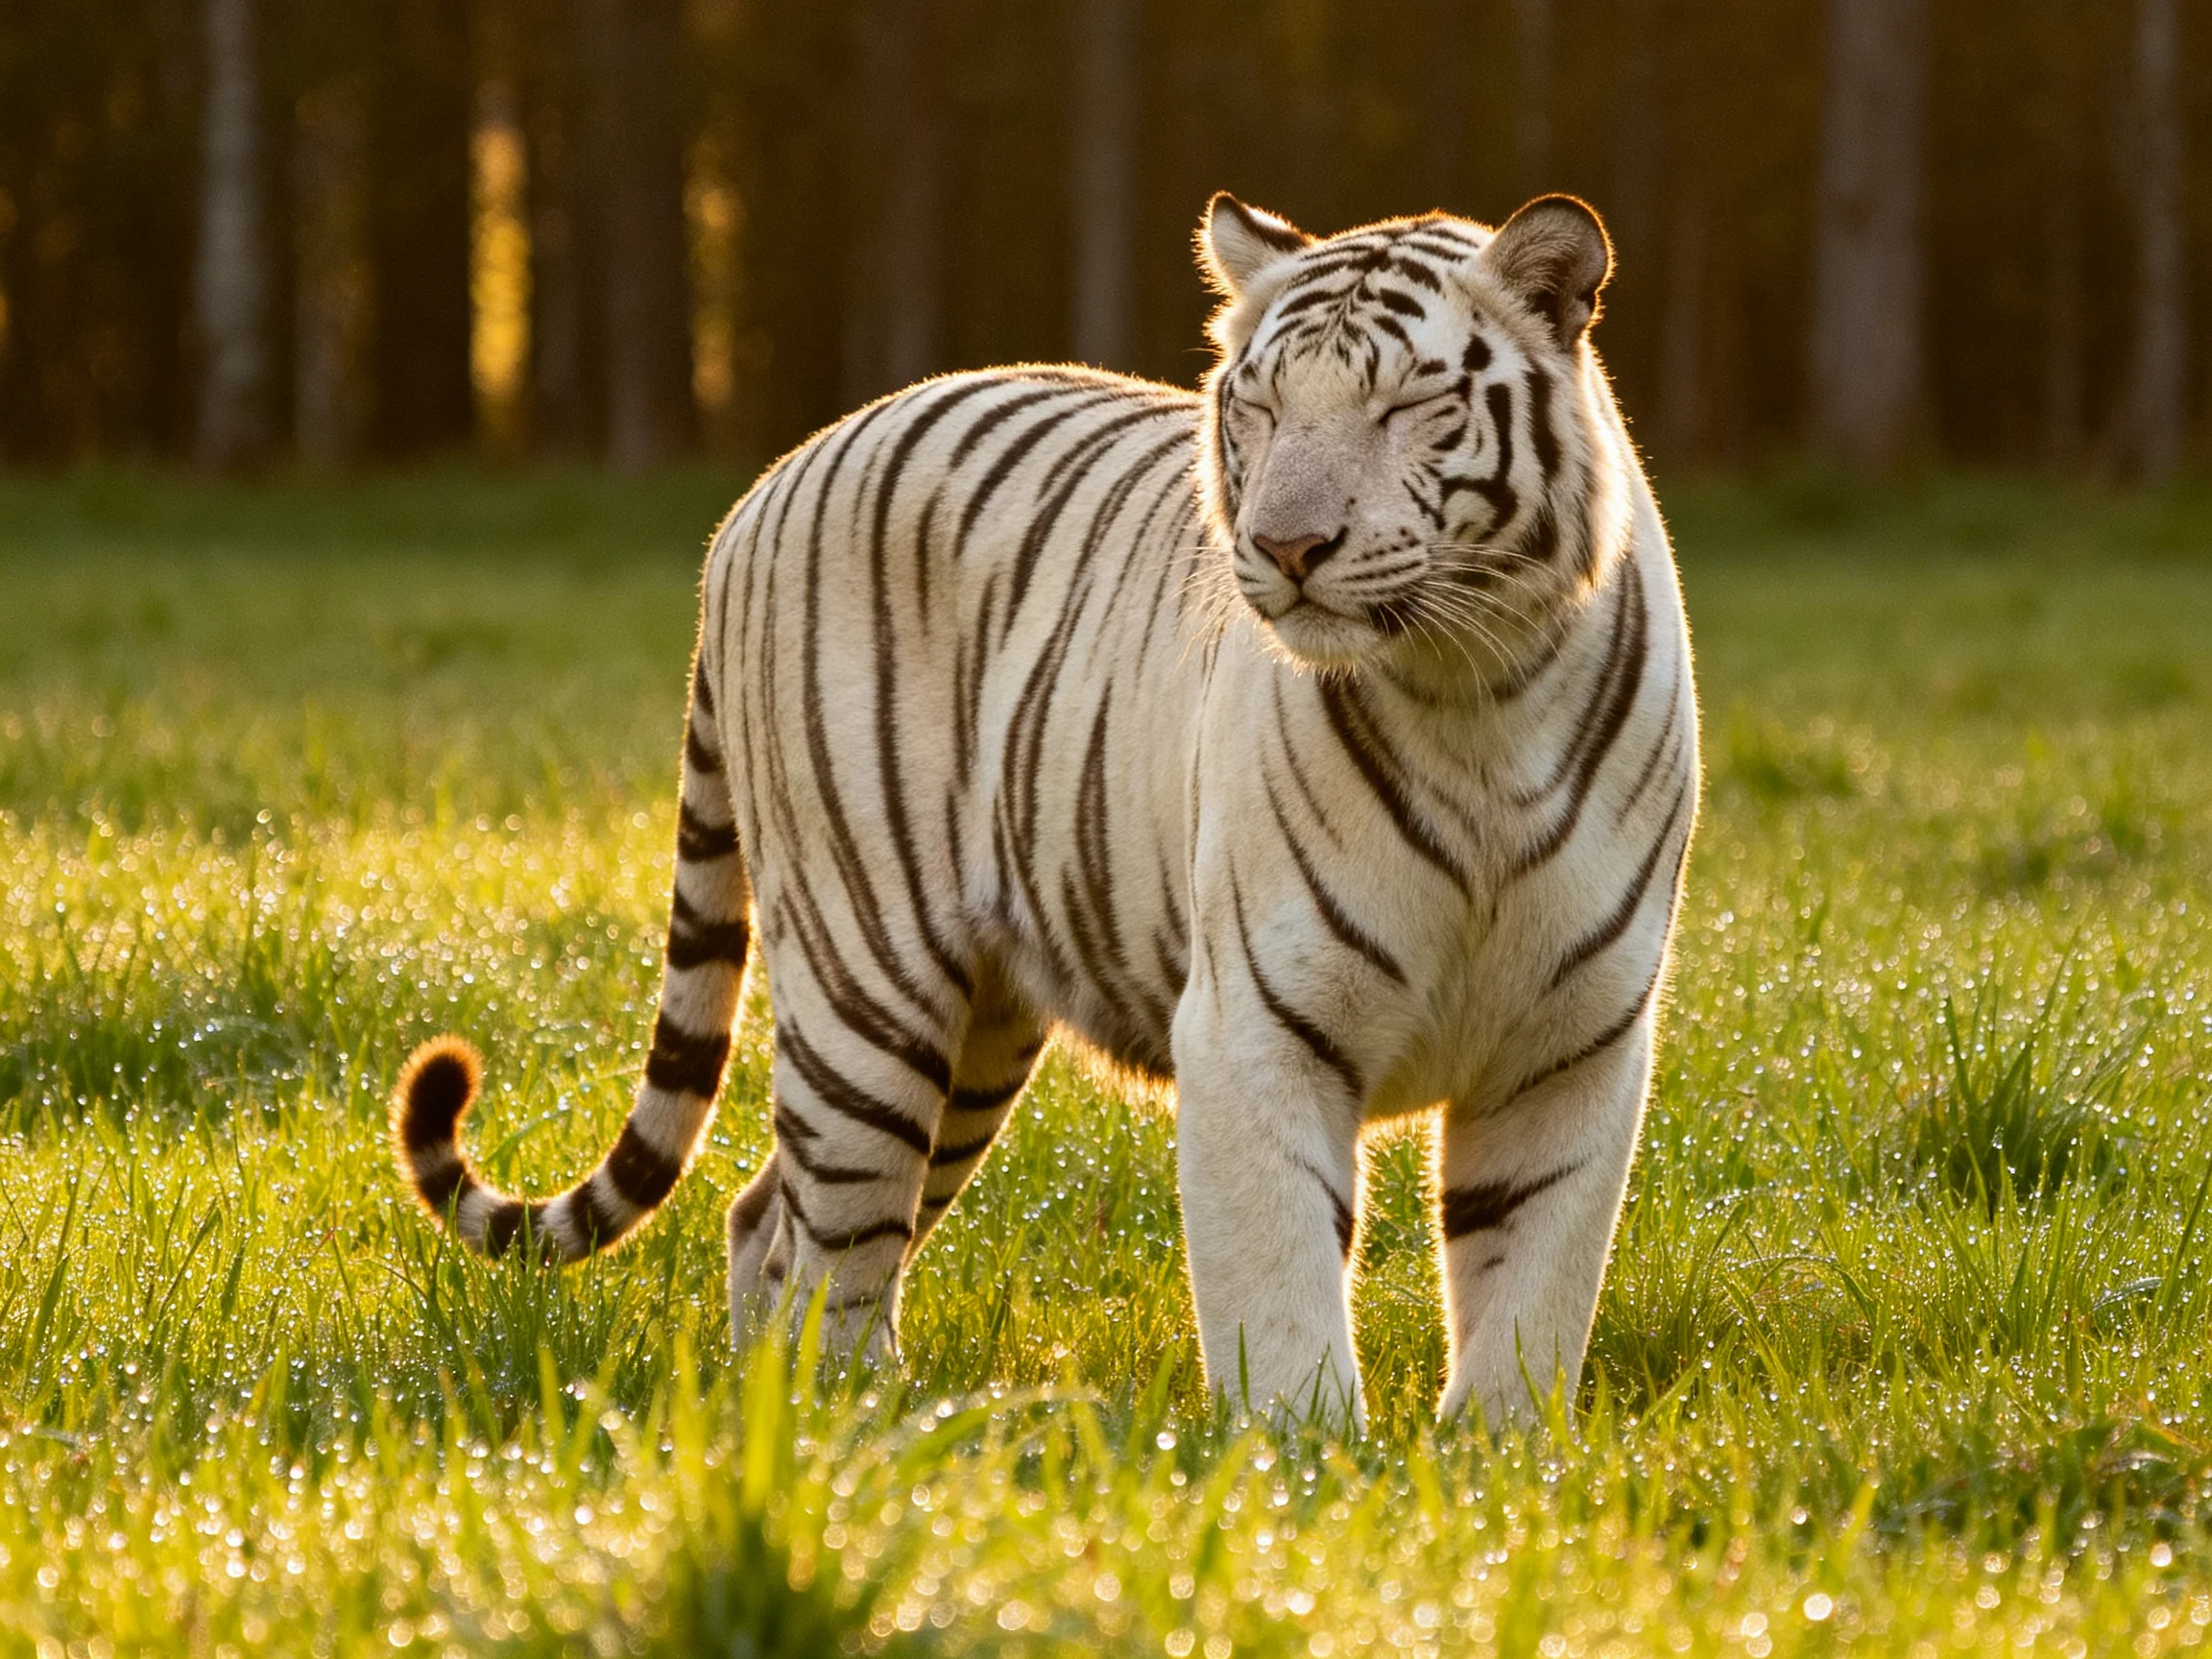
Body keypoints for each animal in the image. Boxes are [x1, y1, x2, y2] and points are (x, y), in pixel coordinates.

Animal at [391, 191, 1699, 1428]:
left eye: (1411, 406)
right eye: (1260, 408)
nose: (1288, 546)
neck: (1478, 701)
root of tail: (758, 495)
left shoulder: (1572, 1042)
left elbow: (1534, 1291)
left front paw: (1495, 1461)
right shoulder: (1257, 1028)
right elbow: (1283, 1292)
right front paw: (1304, 1466)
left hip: (976, 1035)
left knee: (767, 1217)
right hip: (868, 990)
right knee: (833, 1253)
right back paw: (865, 1427)